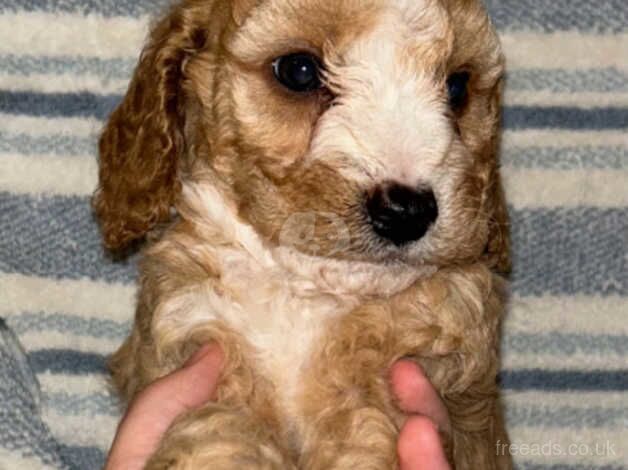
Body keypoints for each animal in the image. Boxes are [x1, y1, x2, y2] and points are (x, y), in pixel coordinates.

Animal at [95, 0, 512, 466]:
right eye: (298, 71)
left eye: (457, 87)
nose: (407, 211)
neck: (304, 290)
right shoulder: (196, 334)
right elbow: (217, 429)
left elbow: (368, 430)